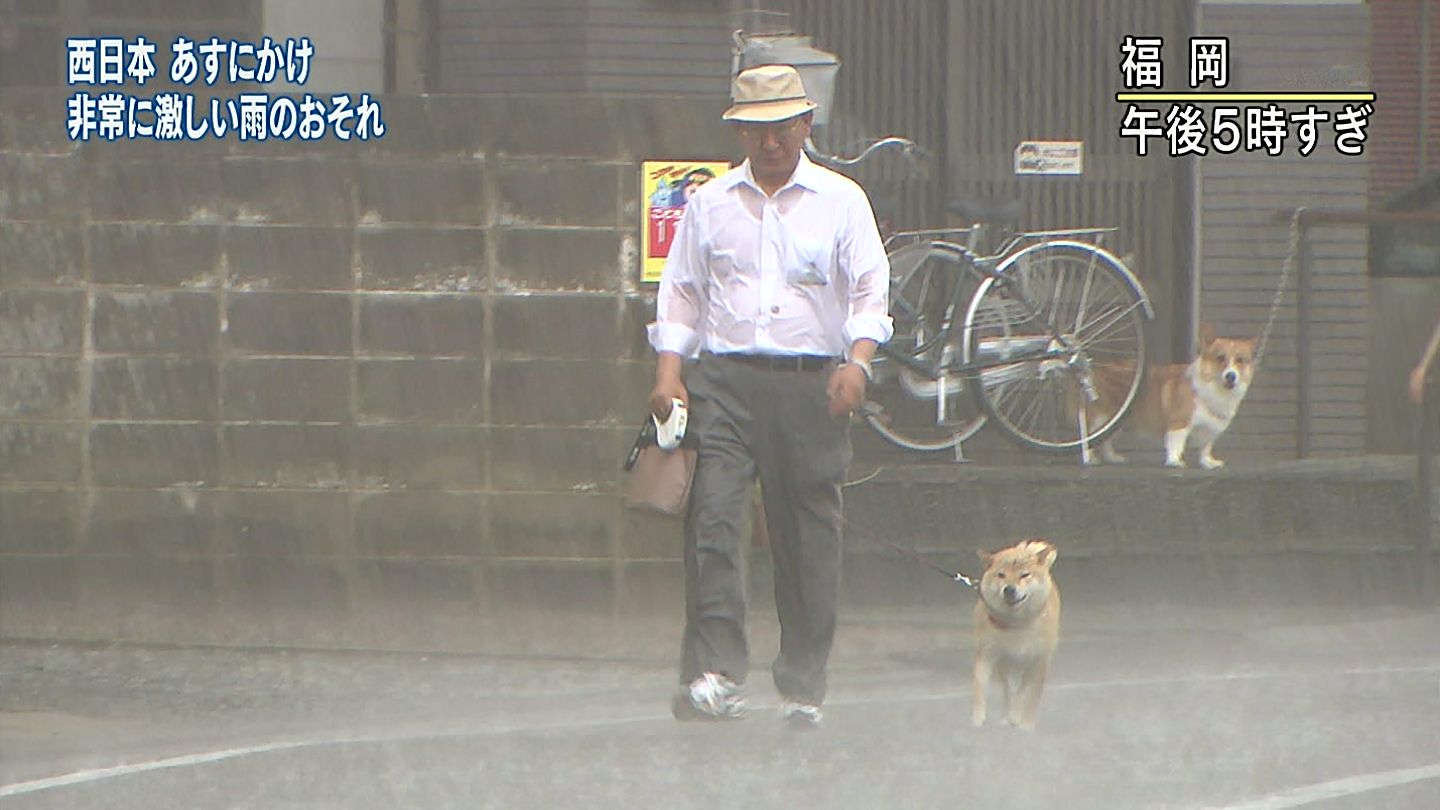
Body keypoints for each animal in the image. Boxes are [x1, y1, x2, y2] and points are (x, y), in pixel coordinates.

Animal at [967, 539, 1059, 729]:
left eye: (1025, 575)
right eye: (1001, 575)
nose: (1009, 589)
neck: (1016, 623)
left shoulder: (1038, 660)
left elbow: (1028, 695)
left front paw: (1025, 724)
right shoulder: (987, 654)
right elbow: (980, 688)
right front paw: (978, 719)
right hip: (1005, 665)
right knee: (1009, 690)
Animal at [1094, 321, 1255, 466]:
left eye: (1240, 360)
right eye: (1220, 358)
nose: (1231, 376)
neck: (1213, 389)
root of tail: (1097, 370)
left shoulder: (1210, 429)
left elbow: (1205, 447)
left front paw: (1207, 462)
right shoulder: (1179, 424)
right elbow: (1176, 444)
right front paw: (1174, 461)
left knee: (1106, 440)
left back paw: (1112, 458)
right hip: (1101, 418)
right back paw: (1092, 459)